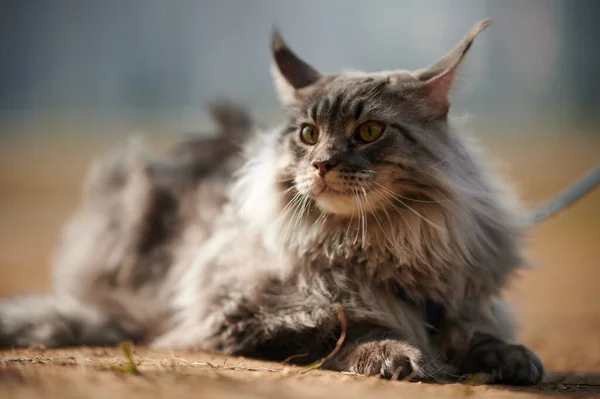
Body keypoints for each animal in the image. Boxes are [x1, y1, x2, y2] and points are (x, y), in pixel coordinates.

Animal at [0, 20, 548, 386]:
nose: (322, 164)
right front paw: (397, 353)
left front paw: (509, 356)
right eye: (308, 134)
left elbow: (476, 333)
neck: (379, 241)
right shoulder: (240, 312)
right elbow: (346, 326)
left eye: (370, 131)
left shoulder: (458, 300)